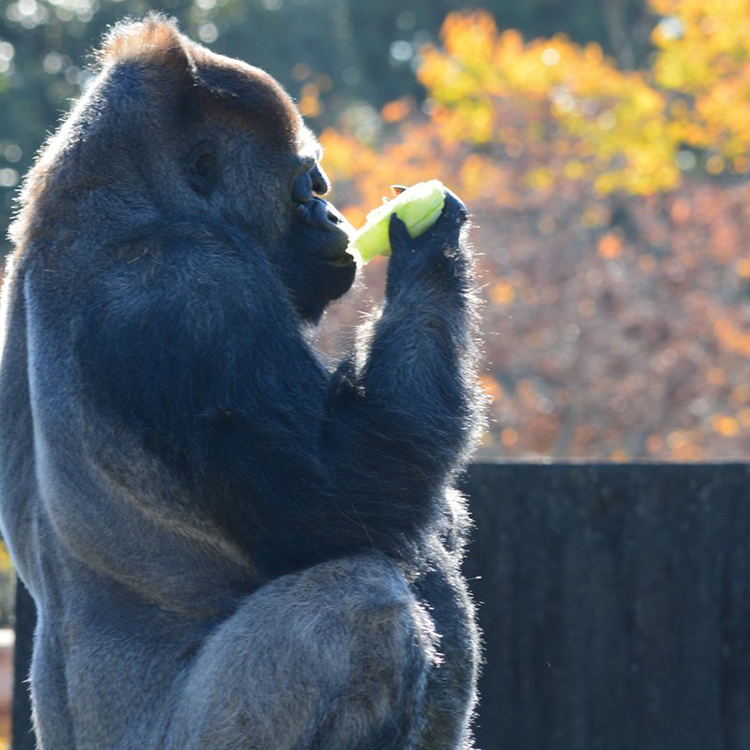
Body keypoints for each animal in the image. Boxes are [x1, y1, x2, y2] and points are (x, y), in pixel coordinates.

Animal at [0, 13, 484, 750]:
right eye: (310, 185)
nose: (333, 217)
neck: (119, 198)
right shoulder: (195, 287)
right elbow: (353, 494)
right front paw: (429, 248)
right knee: (360, 606)